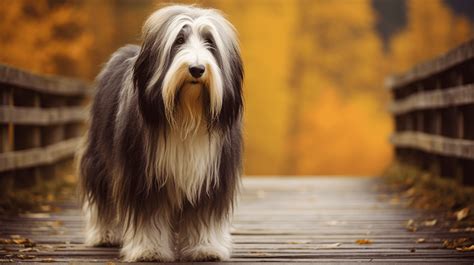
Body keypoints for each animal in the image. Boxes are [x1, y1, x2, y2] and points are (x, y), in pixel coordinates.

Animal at [77, 5, 243, 260]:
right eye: (179, 40)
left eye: (210, 42)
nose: (197, 69)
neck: (186, 114)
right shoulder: (142, 174)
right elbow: (148, 216)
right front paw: (149, 250)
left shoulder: (211, 176)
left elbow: (204, 215)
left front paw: (205, 247)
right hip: (99, 155)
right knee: (101, 194)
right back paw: (103, 234)